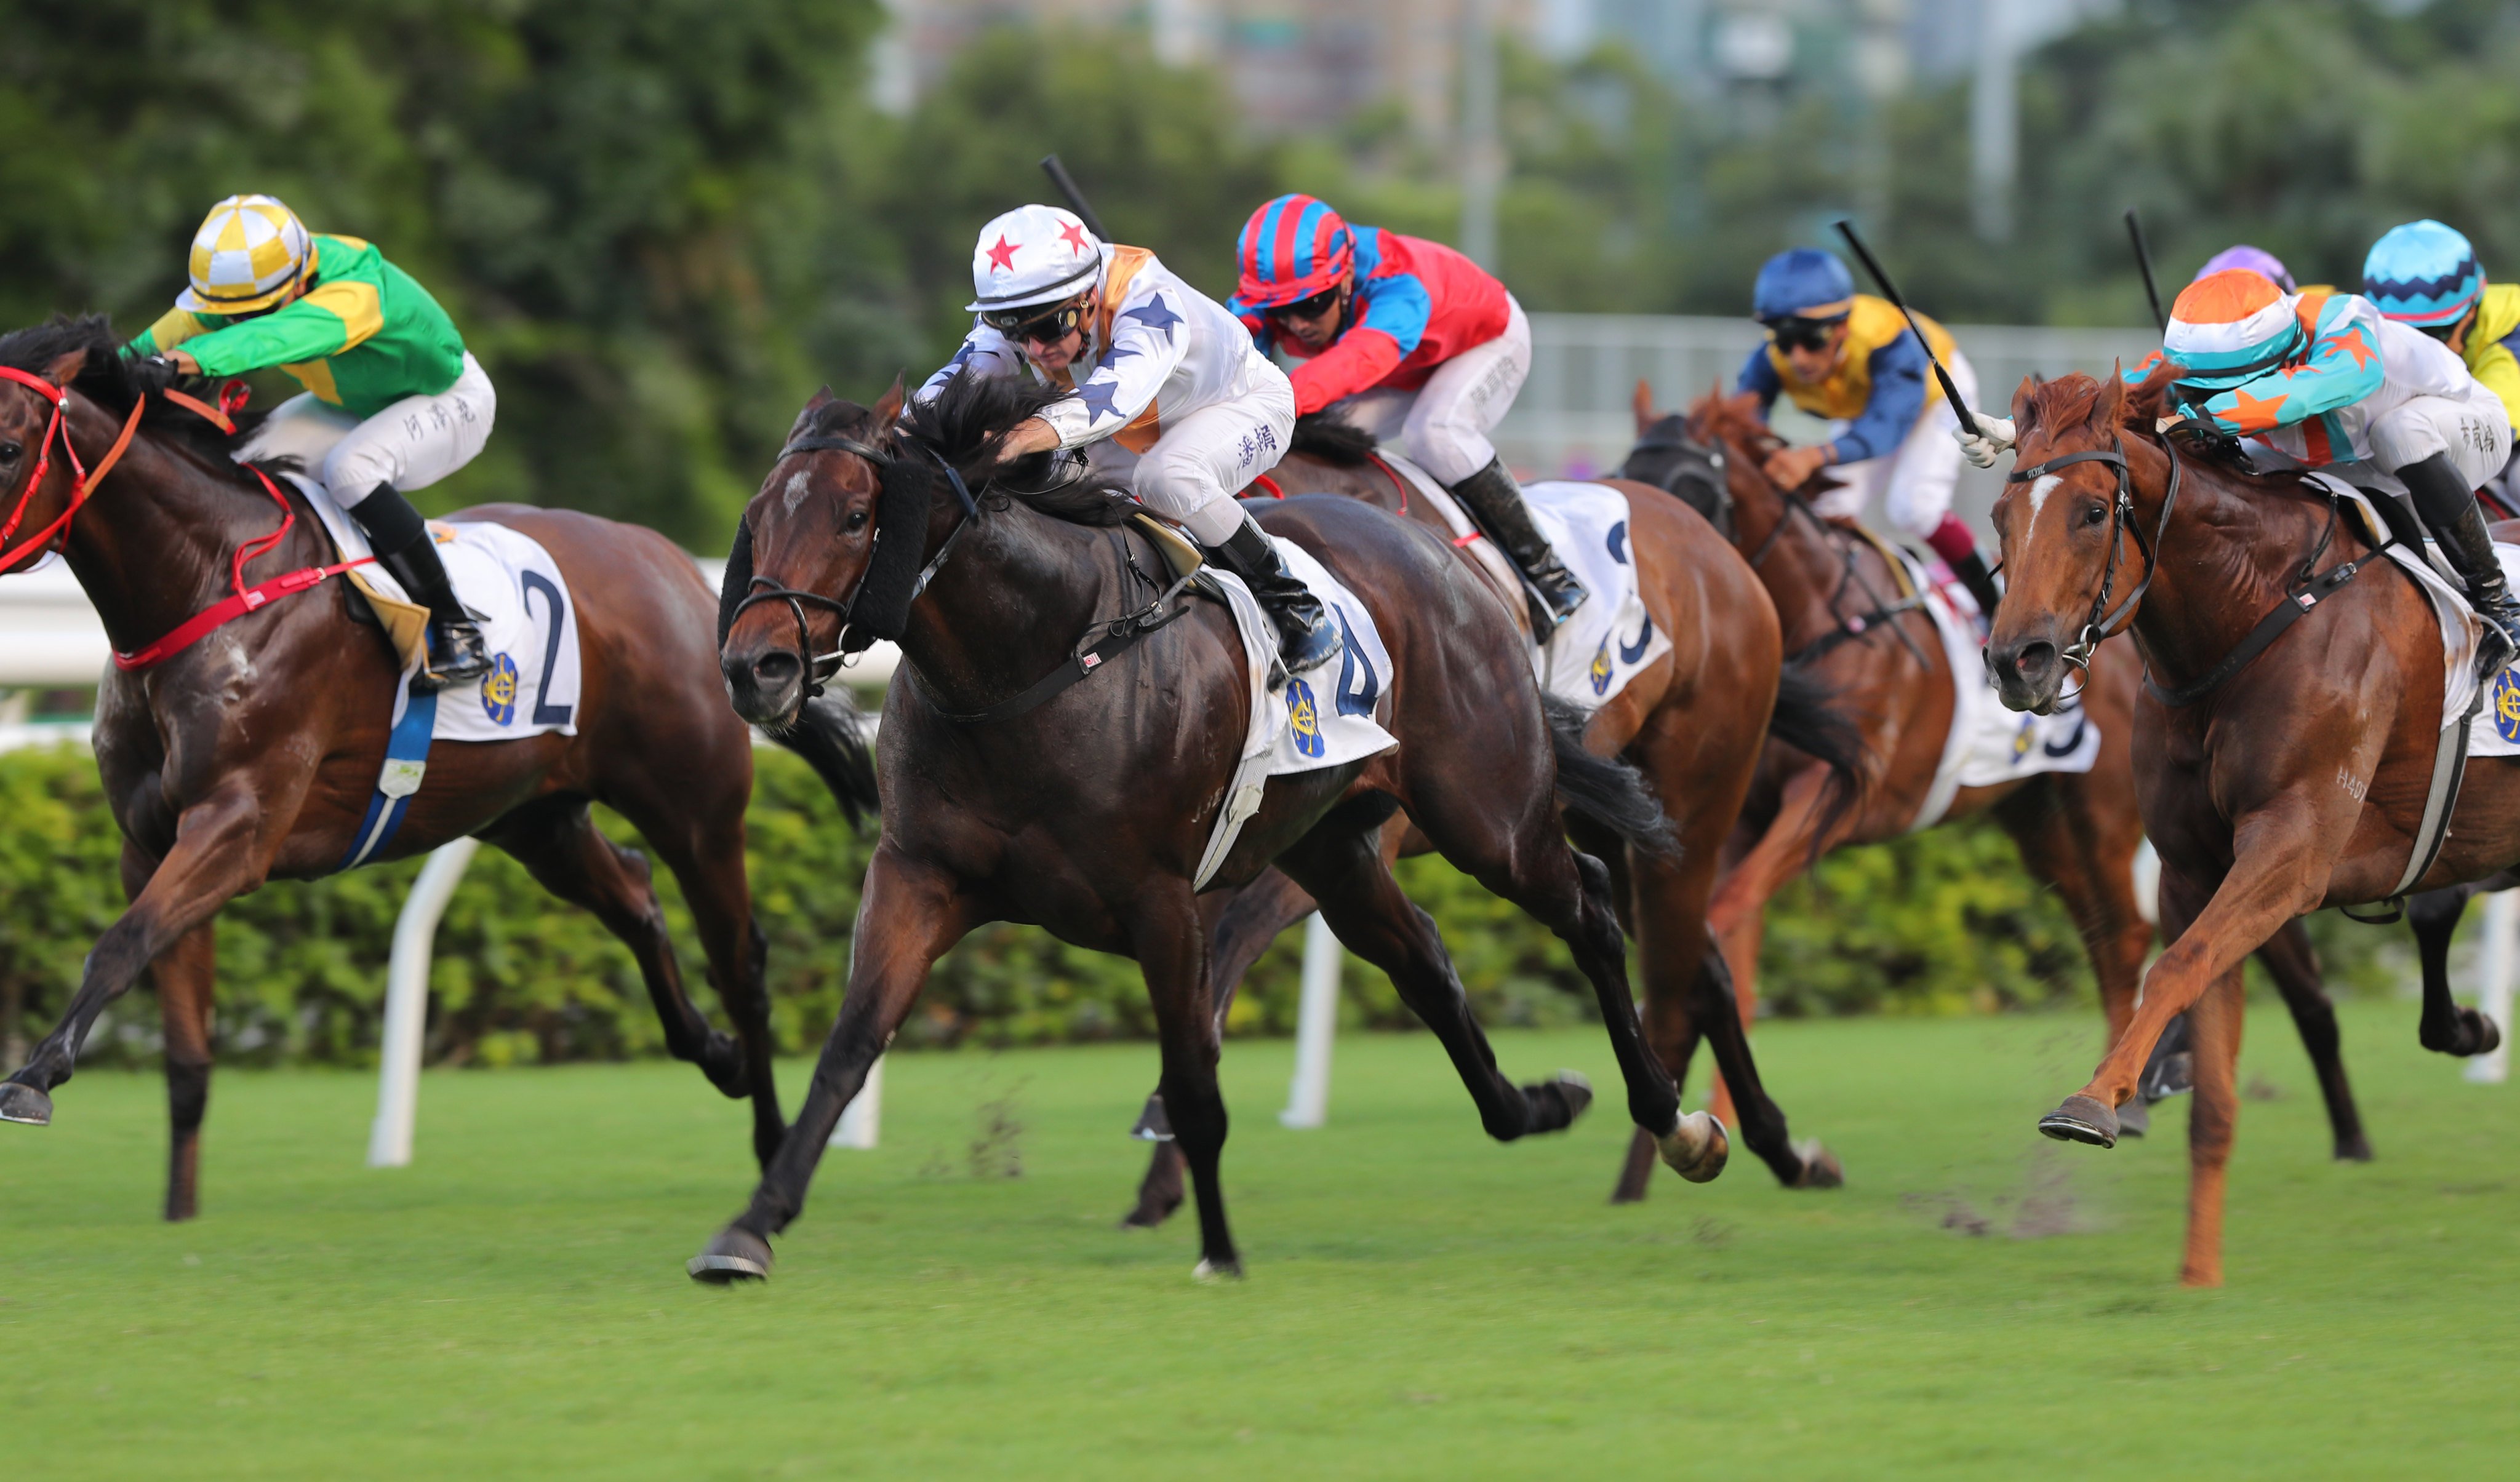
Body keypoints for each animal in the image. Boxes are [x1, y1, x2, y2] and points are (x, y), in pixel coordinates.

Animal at [0, 319, 887, 1219]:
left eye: (5, 447)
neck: (211, 581)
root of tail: (687, 575)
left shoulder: (238, 824)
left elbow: (120, 944)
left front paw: (32, 1077)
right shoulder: (148, 842)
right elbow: (181, 1046)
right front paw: (179, 1211)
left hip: (695, 810)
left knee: (741, 961)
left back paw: (772, 1142)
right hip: (532, 817)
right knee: (636, 898)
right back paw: (716, 1053)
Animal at [700, 373, 1734, 1285]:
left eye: (853, 515)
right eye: (760, 512)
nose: (755, 667)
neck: (1032, 660)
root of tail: (1451, 555)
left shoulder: (1164, 902)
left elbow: (1194, 1084)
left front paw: (1219, 1248)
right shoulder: (918, 874)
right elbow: (848, 1048)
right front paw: (749, 1228)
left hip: (1487, 813)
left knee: (1587, 906)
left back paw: (1679, 1124)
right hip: (1335, 847)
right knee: (1425, 964)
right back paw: (1536, 1105)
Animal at [1113, 410, 1865, 1235]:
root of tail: (1723, 559)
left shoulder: (1332, 841)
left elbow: (1228, 953)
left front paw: (1164, 1125)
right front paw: (1161, 1174)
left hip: (1690, 801)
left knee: (1679, 963)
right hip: (1612, 820)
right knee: (1704, 965)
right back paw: (1775, 1148)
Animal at [1623, 391, 2369, 1179]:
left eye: (1695, 489)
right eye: (1630, 477)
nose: (1659, 582)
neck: (1825, 620)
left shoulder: (1841, 792)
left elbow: (1727, 911)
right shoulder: (1742, 815)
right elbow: (1732, 933)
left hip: (2104, 816)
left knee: (2127, 934)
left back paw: (2128, 1098)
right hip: (2042, 826)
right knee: (2110, 935)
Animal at [1985, 362, 2519, 1285]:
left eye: (2089, 512)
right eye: (1998, 515)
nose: (2015, 659)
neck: (2253, 613)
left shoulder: (2291, 849)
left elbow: (2173, 968)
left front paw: (2093, 1100)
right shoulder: (2194, 867)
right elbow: (2209, 1066)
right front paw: (2197, 1273)